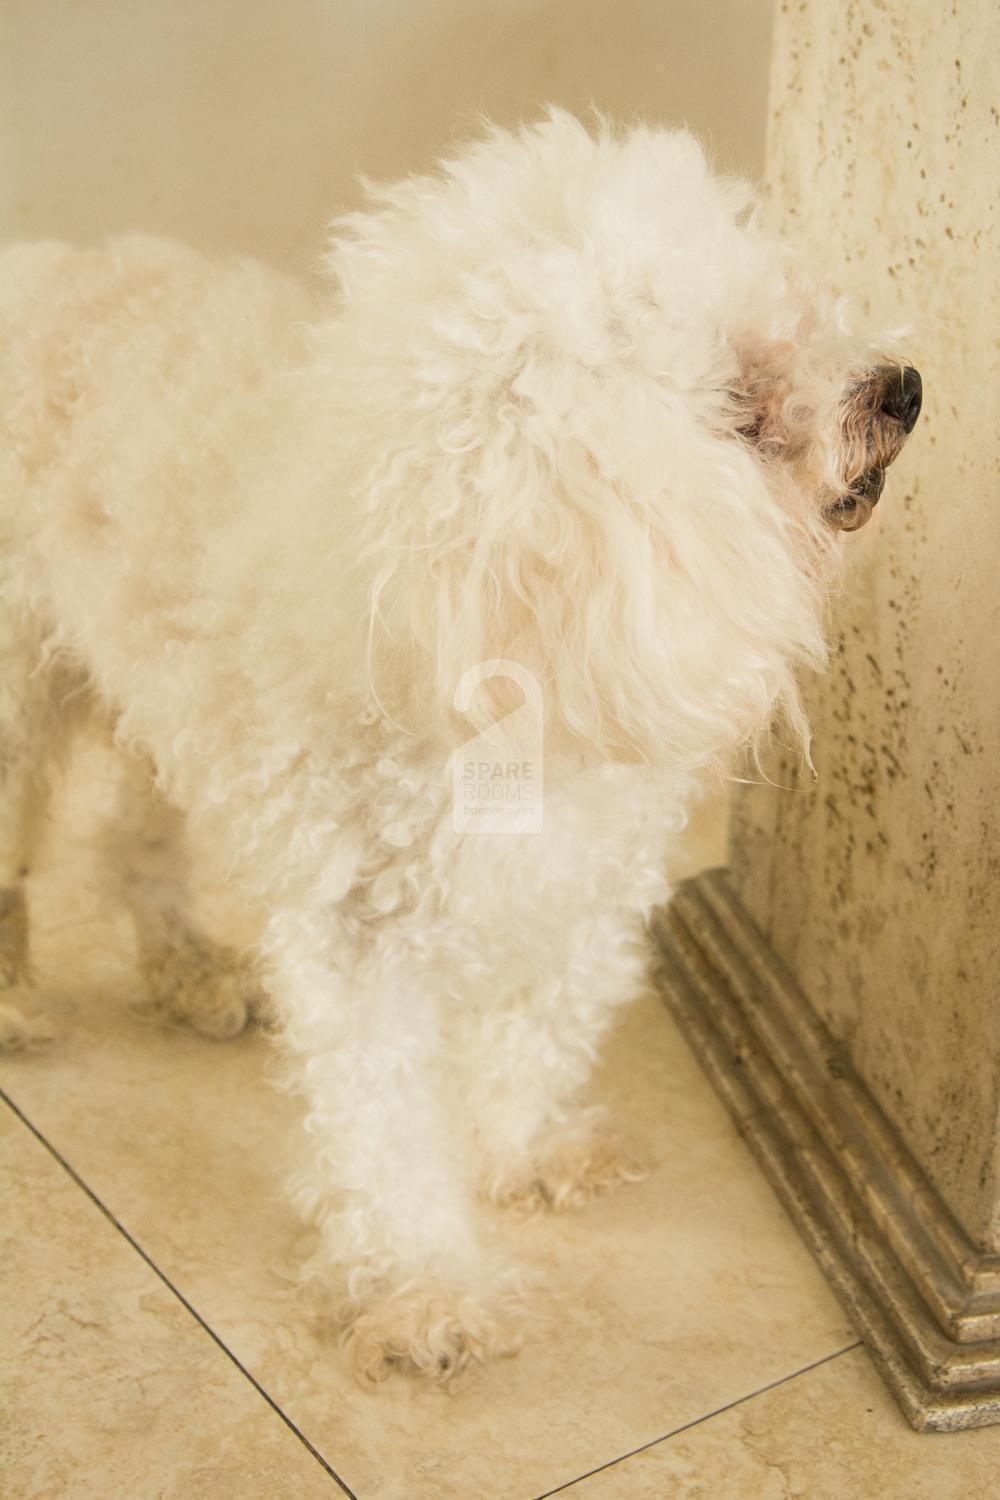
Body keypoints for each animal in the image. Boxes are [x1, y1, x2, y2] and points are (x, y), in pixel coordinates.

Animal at [0, 111, 920, 1383]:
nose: (903, 388)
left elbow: (533, 1038)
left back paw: (191, 971)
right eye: (740, 400)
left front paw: (523, 1153)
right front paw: (424, 1291)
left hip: (154, 692)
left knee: (132, 840)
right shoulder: (360, 938)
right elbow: (383, 1132)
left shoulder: (580, 890)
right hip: (20, 691)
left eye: (797, 313)